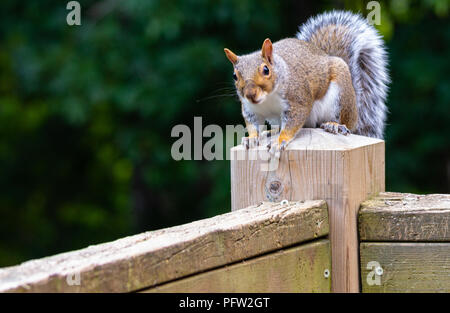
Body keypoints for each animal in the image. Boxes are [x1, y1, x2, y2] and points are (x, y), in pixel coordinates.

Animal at [223, 11, 388, 153]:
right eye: (234, 76)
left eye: (266, 70)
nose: (250, 94)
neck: (267, 99)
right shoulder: (250, 108)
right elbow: (253, 124)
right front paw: (251, 138)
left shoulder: (298, 101)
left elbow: (292, 124)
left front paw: (279, 141)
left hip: (341, 96)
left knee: (344, 121)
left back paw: (333, 125)